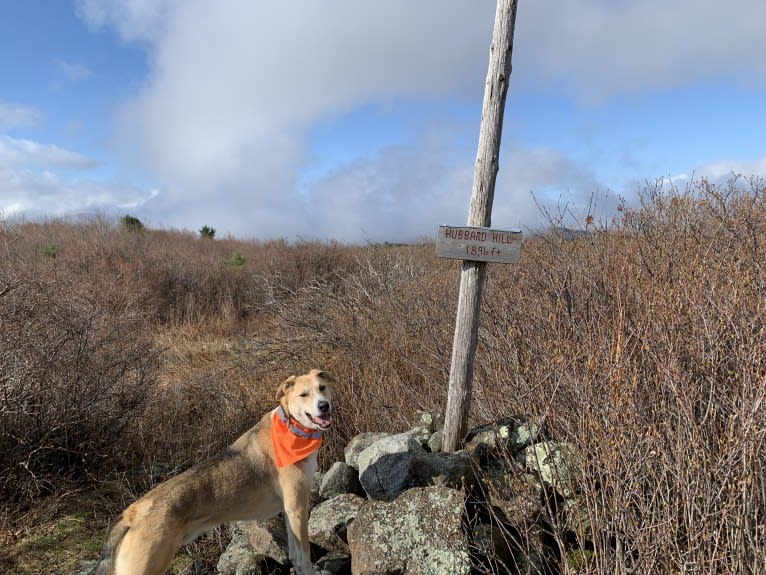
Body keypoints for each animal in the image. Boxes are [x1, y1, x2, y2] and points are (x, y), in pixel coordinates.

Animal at [88, 368, 334, 575]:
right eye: (303, 395)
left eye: (322, 388)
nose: (324, 406)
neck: (293, 427)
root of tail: (131, 514)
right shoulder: (297, 508)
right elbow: (304, 558)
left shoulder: (290, 511)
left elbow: (295, 556)